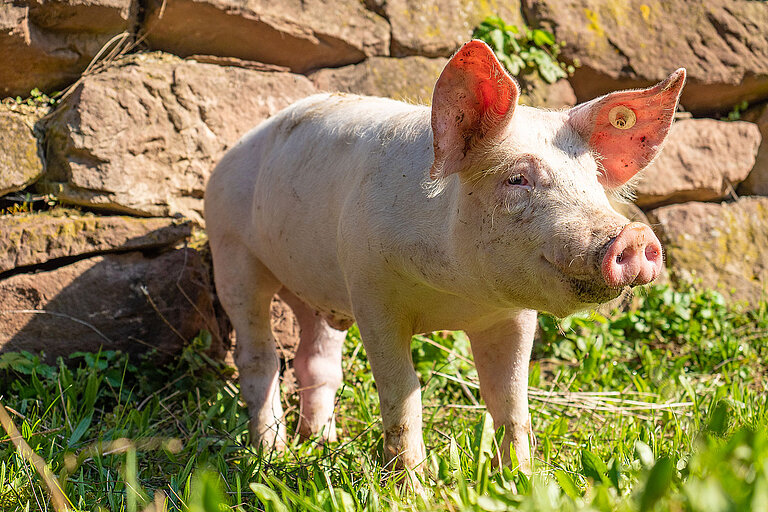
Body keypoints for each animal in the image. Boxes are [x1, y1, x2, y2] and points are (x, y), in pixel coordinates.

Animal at [204, 40, 684, 476]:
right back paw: (271, 452)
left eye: (592, 180)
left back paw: (321, 442)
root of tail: (231, 152)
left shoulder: (512, 314)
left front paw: (521, 480)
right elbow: (402, 394)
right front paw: (412, 488)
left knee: (317, 360)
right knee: (259, 356)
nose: (635, 235)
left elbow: (510, 399)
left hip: (318, 286)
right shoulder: (370, 290)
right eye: (517, 179)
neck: (454, 295)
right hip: (231, 248)